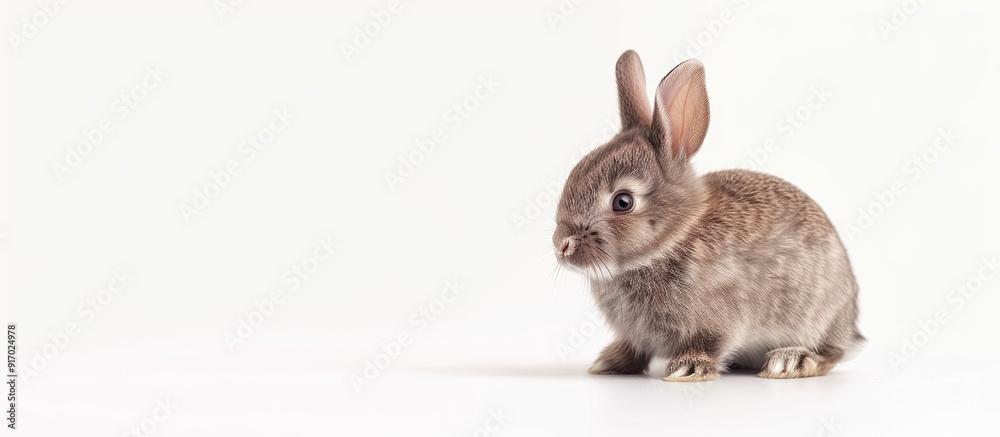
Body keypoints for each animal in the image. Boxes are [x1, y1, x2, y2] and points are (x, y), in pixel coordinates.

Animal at [552, 50, 863, 381]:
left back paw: (791, 360)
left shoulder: (721, 320)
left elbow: (709, 344)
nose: (562, 246)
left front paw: (687, 368)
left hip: (820, 315)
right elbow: (634, 349)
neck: (672, 240)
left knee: (832, 354)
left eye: (623, 202)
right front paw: (610, 363)